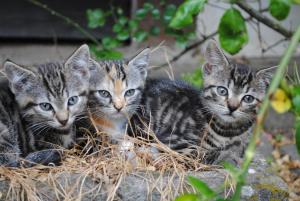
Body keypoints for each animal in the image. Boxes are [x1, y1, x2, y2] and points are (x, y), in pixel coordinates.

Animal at [129, 40, 274, 165]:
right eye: (222, 91)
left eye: (248, 98)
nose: (232, 107)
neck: (229, 131)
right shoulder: (173, 142)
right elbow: (203, 154)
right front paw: (228, 155)